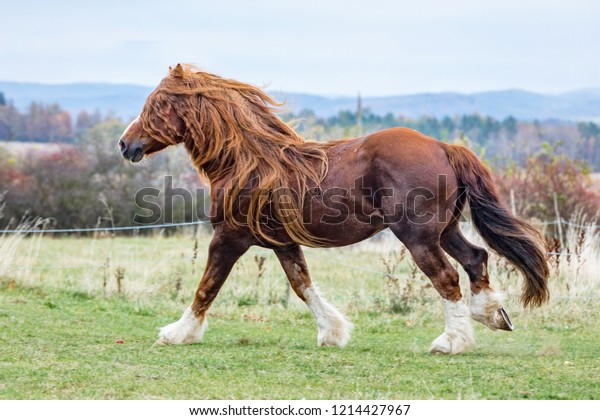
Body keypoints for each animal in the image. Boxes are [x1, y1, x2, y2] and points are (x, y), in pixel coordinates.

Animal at [117, 65, 548, 354]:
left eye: (157, 103)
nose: (125, 144)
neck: (248, 163)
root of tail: (444, 147)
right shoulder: (281, 242)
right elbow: (302, 285)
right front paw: (333, 332)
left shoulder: (229, 238)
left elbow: (207, 286)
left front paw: (177, 333)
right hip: (445, 230)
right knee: (475, 258)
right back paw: (493, 315)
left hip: (418, 236)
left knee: (446, 277)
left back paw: (451, 341)